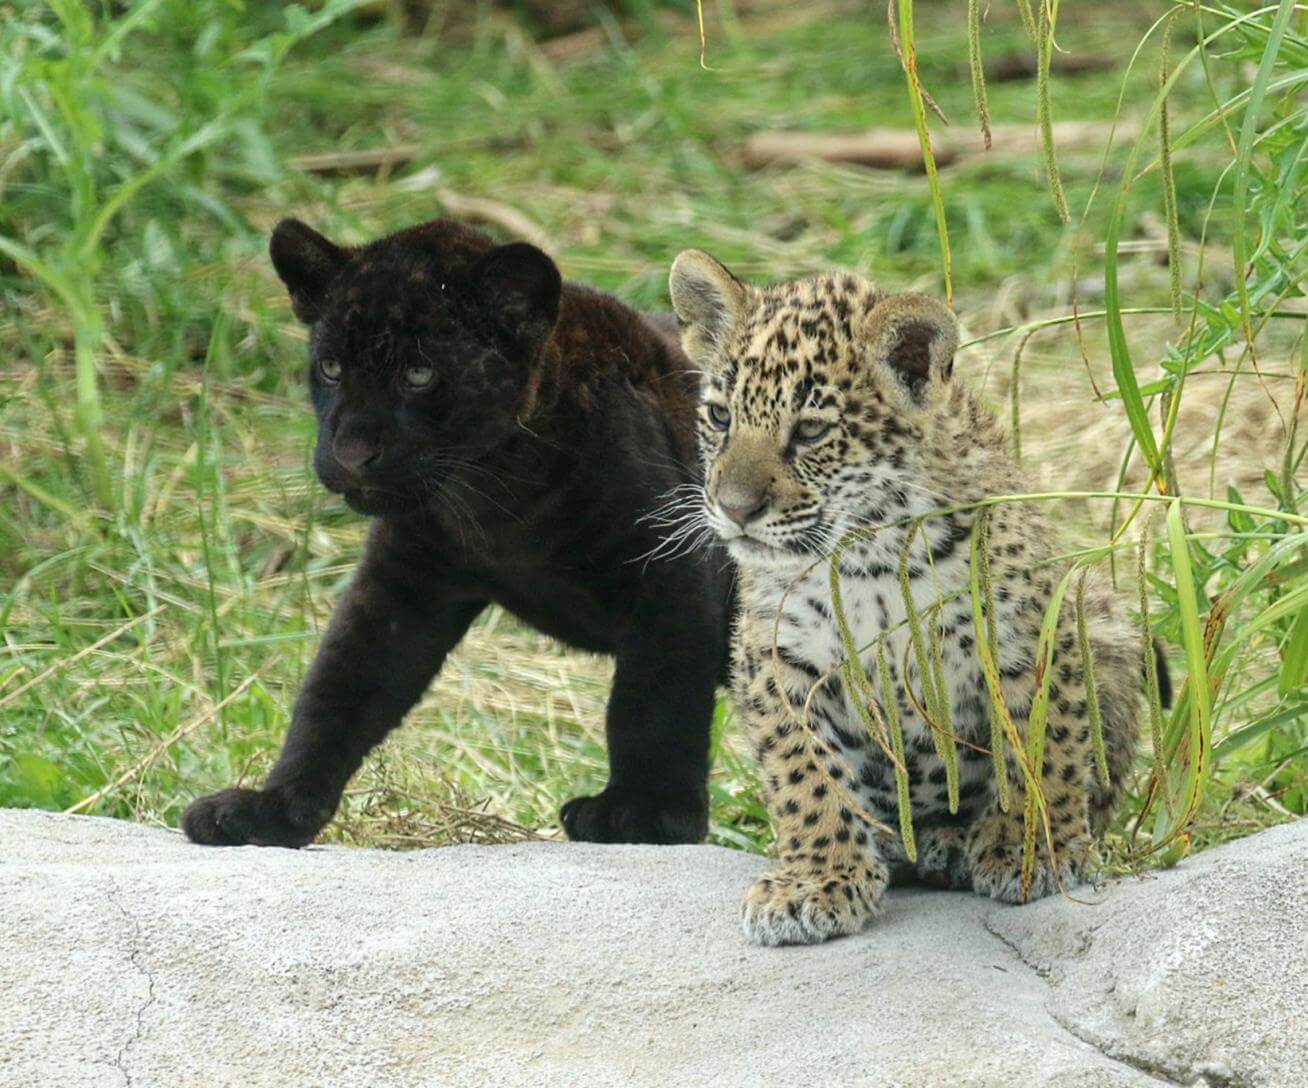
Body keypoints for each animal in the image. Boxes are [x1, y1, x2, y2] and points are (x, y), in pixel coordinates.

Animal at [181, 217, 733, 851]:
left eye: (420, 374)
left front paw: (647, 813)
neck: (499, 498)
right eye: (332, 368)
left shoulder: (670, 579)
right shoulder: (402, 587)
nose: (350, 453)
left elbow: (654, 703)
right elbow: (337, 695)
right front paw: (272, 809)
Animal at [668, 249, 1161, 946]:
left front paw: (1036, 851)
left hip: (1104, 618)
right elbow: (805, 777)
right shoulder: (776, 661)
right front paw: (814, 880)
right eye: (719, 417)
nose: (733, 510)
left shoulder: (1032, 633)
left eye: (811, 431)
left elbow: (1044, 748)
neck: (867, 556)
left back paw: (956, 844)